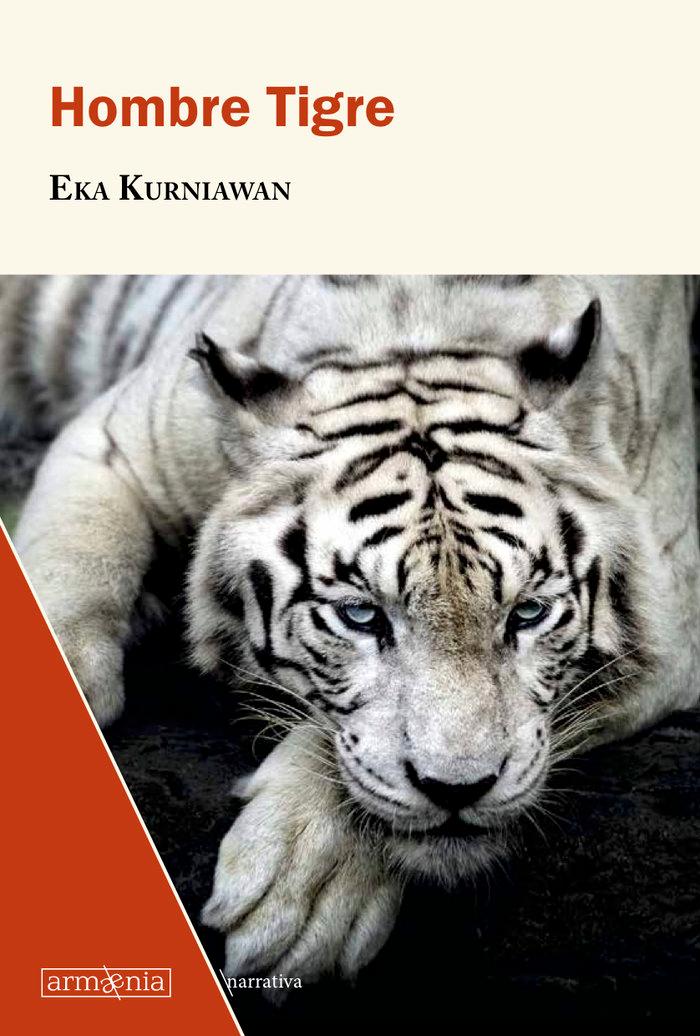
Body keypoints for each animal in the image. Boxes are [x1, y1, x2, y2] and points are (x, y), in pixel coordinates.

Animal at [1, 274, 698, 984]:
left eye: (527, 613)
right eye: (361, 615)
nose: (459, 789)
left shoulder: (672, 623)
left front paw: (300, 887)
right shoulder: (114, 442)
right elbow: (71, 565)